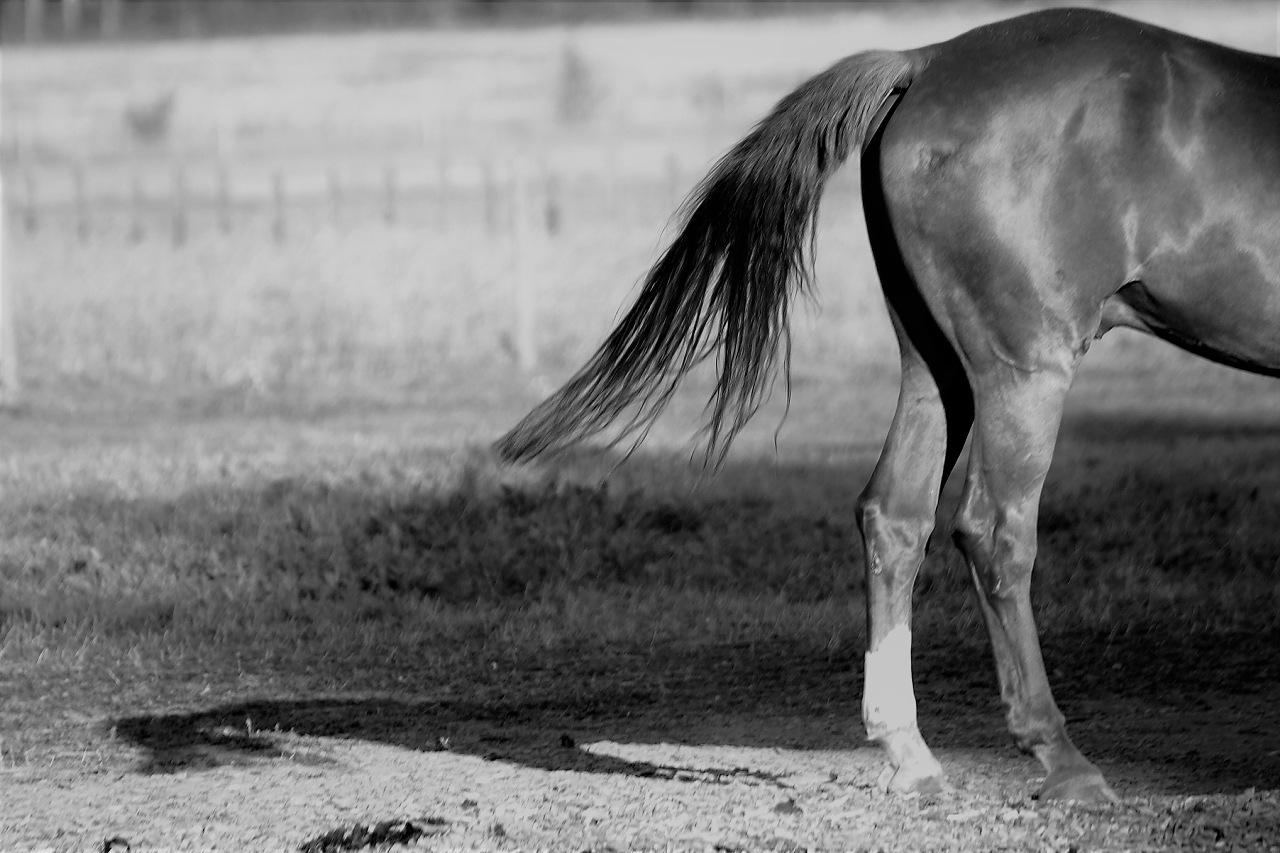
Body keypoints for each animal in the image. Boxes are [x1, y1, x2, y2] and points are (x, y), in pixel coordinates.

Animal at [496, 7, 1280, 802]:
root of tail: (927, 60)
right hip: (1023, 369)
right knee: (995, 534)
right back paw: (1062, 760)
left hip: (937, 368)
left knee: (895, 516)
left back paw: (910, 751)